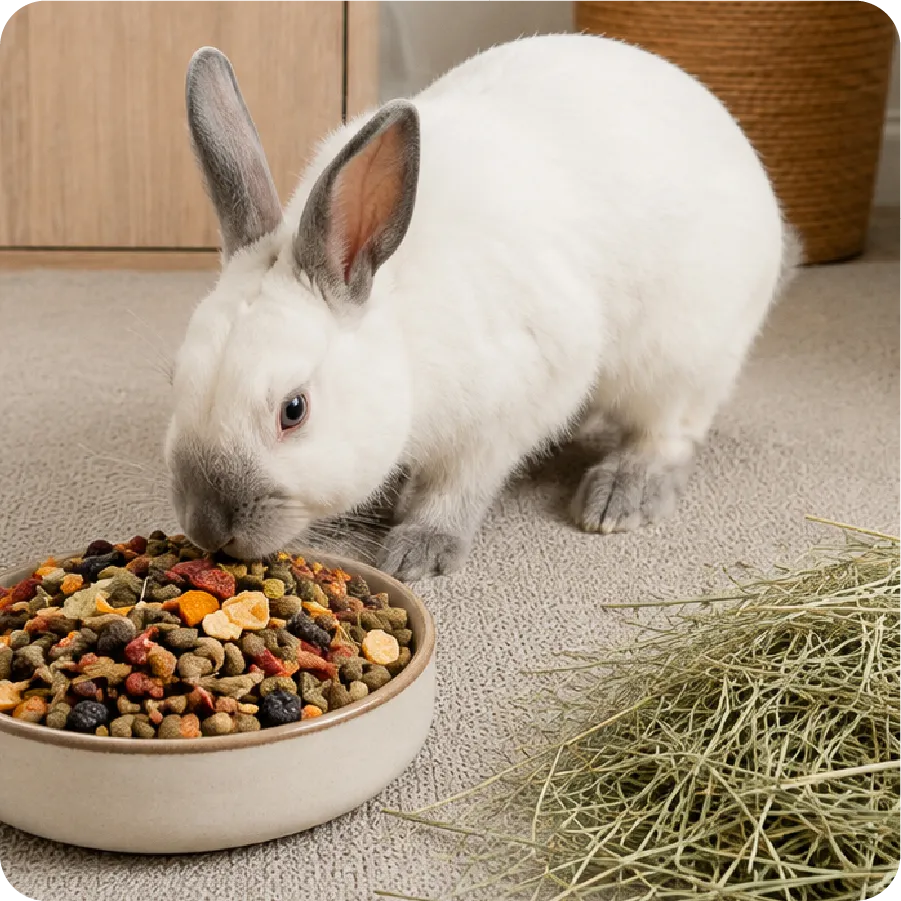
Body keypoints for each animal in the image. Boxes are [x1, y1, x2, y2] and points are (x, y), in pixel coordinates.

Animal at [164, 34, 801, 582]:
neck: (403, 341)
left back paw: (619, 495)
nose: (209, 526)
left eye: (293, 411)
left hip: (679, 358)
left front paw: (417, 553)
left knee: (670, 433)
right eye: (177, 380)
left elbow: (457, 487)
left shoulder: (503, 413)